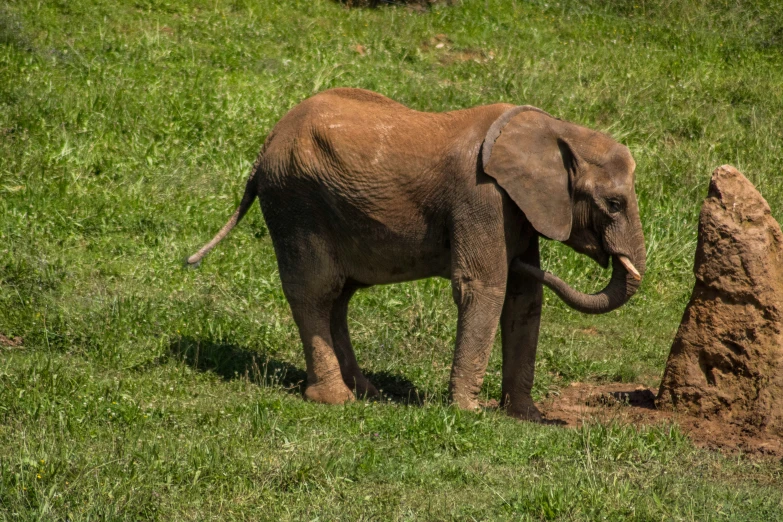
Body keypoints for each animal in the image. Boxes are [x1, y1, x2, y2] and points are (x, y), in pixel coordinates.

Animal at [187, 86, 648, 418]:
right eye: (614, 204)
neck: (556, 129)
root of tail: (266, 145)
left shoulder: (518, 208)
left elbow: (523, 297)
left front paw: (525, 416)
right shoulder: (481, 198)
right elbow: (484, 287)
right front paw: (469, 413)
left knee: (340, 296)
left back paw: (369, 393)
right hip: (296, 202)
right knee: (316, 290)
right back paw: (336, 400)